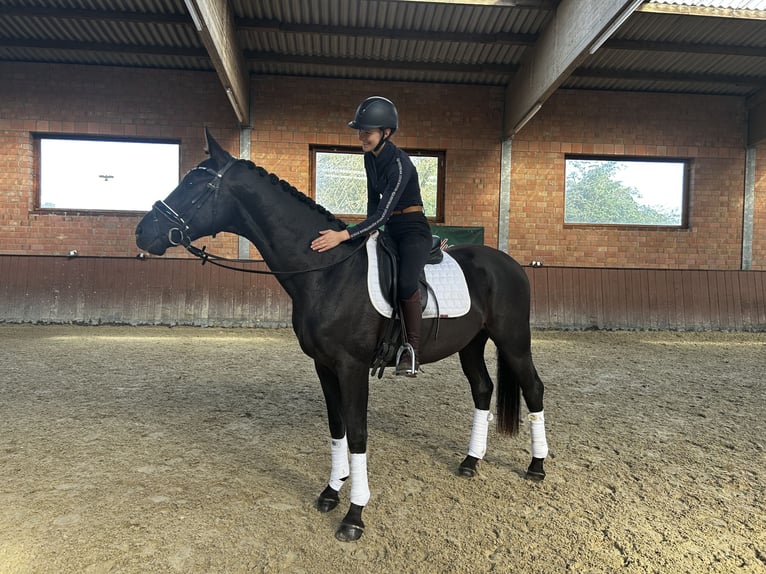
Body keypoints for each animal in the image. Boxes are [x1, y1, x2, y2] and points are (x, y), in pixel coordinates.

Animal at [135, 129, 548, 544]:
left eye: (194, 183)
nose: (143, 231)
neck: (326, 271)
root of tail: (509, 263)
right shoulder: (324, 366)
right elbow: (338, 429)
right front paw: (332, 492)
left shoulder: (352, 367)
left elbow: (359, 433)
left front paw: (355, 514)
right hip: (471, 344)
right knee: (482, 389)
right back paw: (470, 462)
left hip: (513, 341)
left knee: (533, 389)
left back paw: (537, 466)